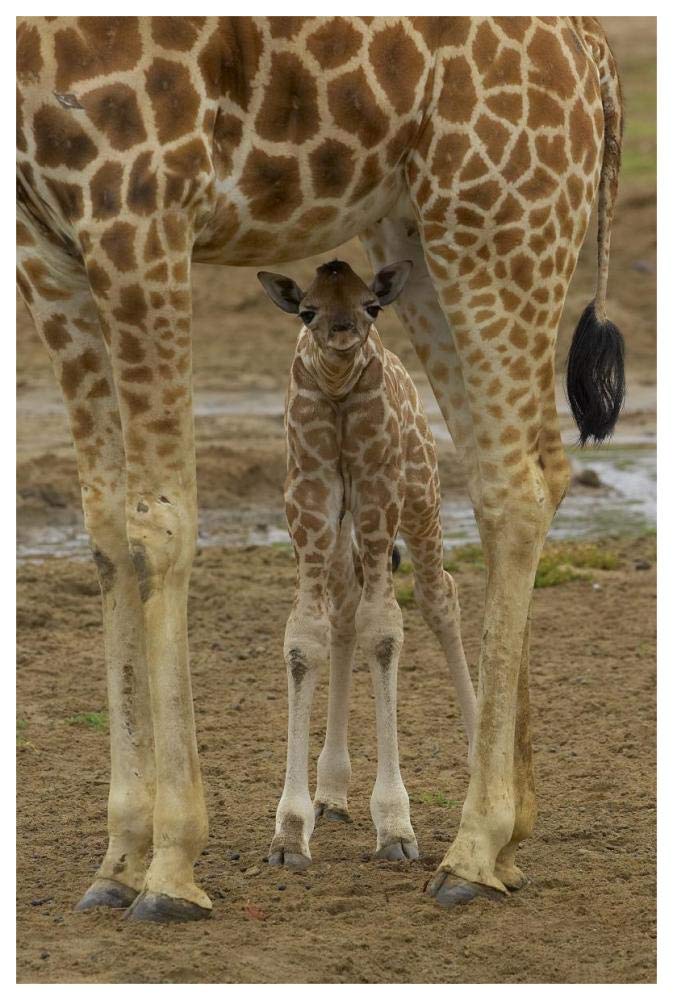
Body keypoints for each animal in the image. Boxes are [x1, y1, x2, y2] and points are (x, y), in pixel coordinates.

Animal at [257, 258, 477, 869]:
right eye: (306, 311)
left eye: (372, 307)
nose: (341, 338)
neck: (336, 394)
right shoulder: (308, 500)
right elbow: (303, 639)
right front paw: (290, 831)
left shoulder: (382, 492)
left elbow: (384, 631)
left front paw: (397, 829)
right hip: (341, 535)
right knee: (344, 611)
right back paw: (331, 793)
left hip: (422, 495)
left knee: (439, 594)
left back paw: (482, 755)